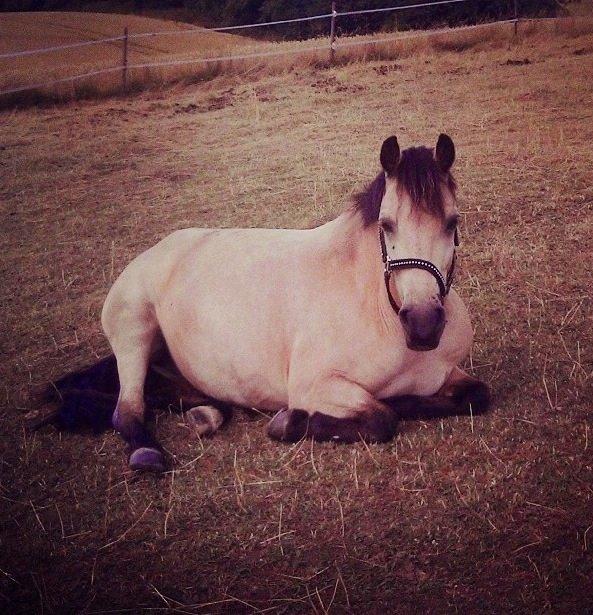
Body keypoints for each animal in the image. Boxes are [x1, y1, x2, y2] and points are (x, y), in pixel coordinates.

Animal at [39, 134, 488, 472]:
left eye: (452, 222)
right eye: (387, 224)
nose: (424, 323)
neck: (380, 307)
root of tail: (156, 250)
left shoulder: (448, 375)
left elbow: (474, 396)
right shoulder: (314, 386)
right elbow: (383, 417)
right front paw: (291, 422)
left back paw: (205, 415)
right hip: (135, 331)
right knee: (128, 409)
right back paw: (147, 452)